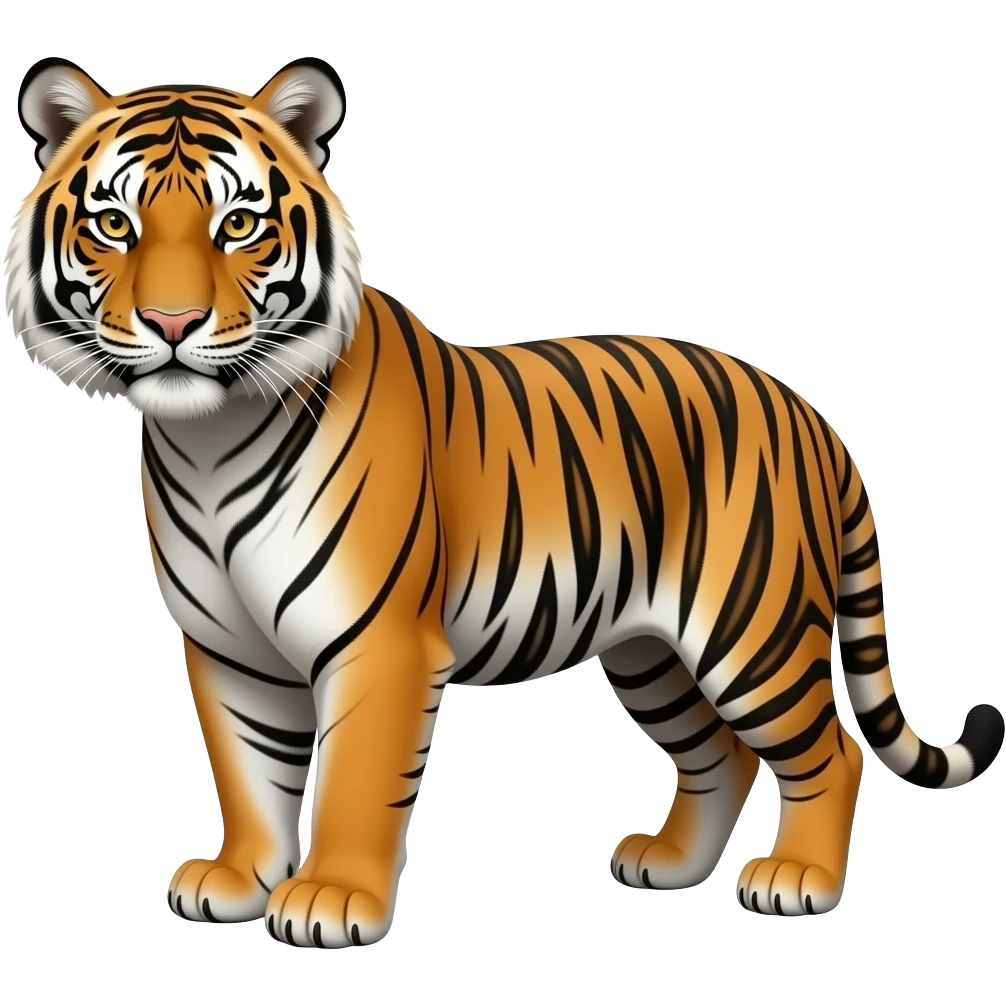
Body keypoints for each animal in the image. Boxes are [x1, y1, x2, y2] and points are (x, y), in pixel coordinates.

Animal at [7, 55, 1003, 947]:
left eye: (240, 223)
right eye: (113, 223)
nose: (173, 326)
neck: (207, 439)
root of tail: (808, 412)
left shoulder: (380, 642)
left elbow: (354, 778)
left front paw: (331, 900)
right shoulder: (228, 648)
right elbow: (249, 771)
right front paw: (238, 879)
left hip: (748, 630)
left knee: (831, 751)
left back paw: (798, 882)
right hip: (648, 649)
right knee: (718, 753)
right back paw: (669, 865)